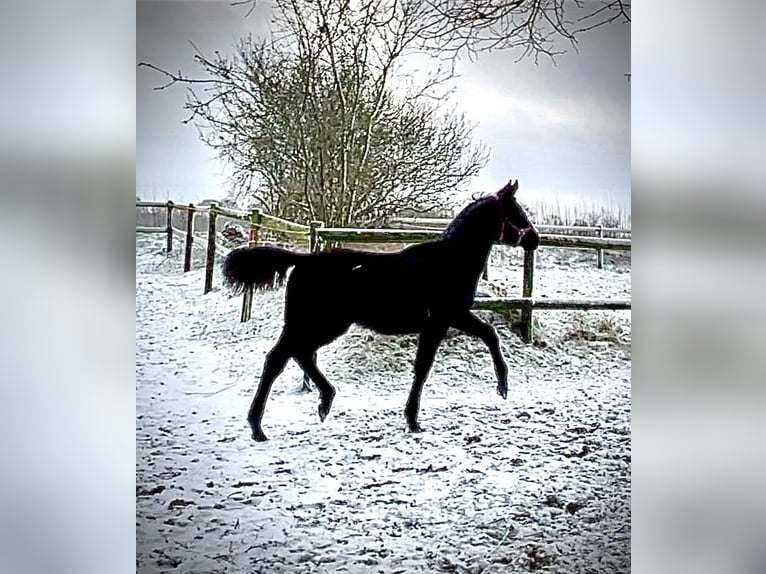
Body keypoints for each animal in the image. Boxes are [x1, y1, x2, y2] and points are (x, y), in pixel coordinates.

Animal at [225, 180, 544, 440]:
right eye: (516, 212)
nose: (534, 239)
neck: (449, 262)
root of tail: (302, 260)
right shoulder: (444, 319)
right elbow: (426, 367)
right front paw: (414, 421)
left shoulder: (450, 319)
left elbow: (488, 335)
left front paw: (502, 387)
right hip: (316, 323)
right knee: (278, 359)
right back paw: (258, 427)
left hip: (323, 325)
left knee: (300, 354)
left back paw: (324, 402)